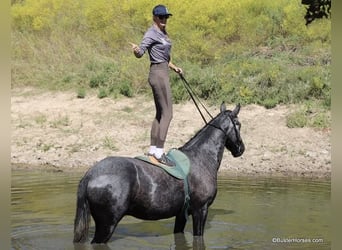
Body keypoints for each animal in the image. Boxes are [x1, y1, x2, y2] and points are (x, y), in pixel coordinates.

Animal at [73, 102, 243, 243]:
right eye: (239, 124)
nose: (241, 149)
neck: (201, 157)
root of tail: (90, 175)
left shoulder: (181, 214)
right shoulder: (200, 210)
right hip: (107, 225)